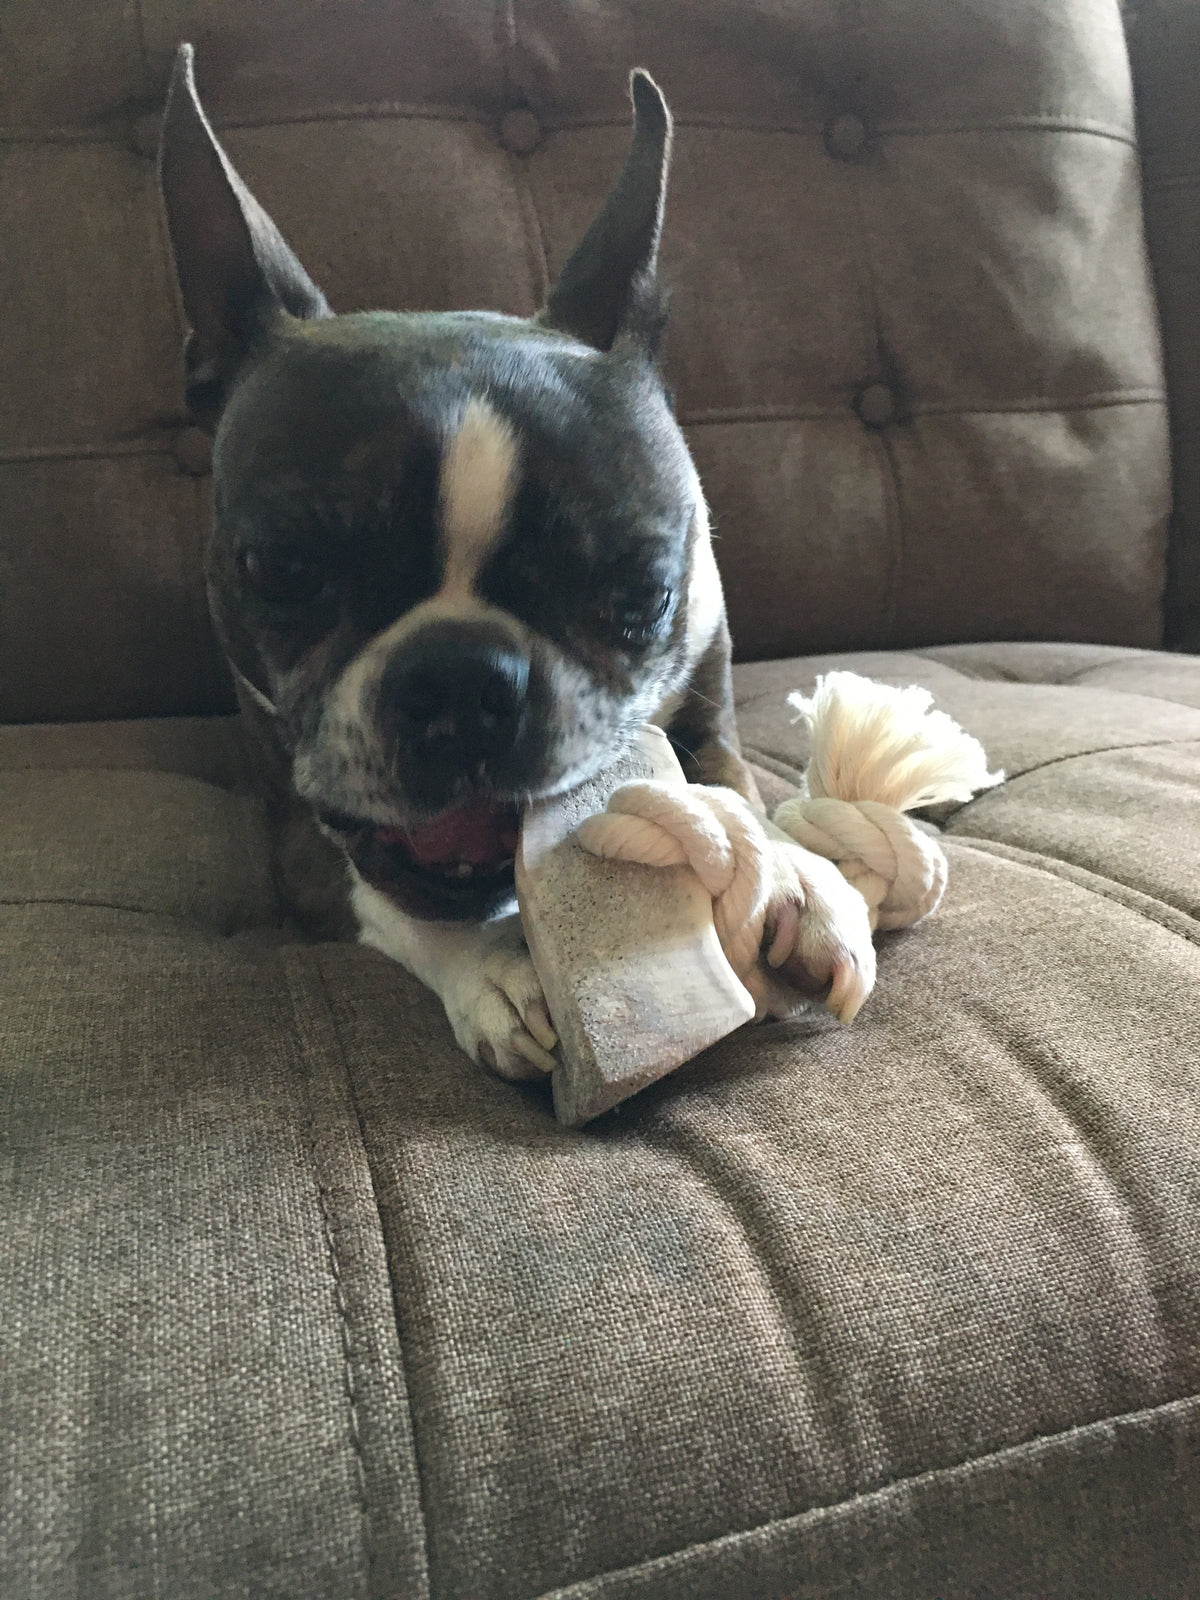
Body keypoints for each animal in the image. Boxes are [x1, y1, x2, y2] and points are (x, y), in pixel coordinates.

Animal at [157, 46, 876, 1075]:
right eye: (284, 570)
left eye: (642, 592)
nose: (464, 682)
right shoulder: (300, 836)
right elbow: (394, 896)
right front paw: (496, 965)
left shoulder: (711, 704)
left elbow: (730, 781)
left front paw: (791, 873)